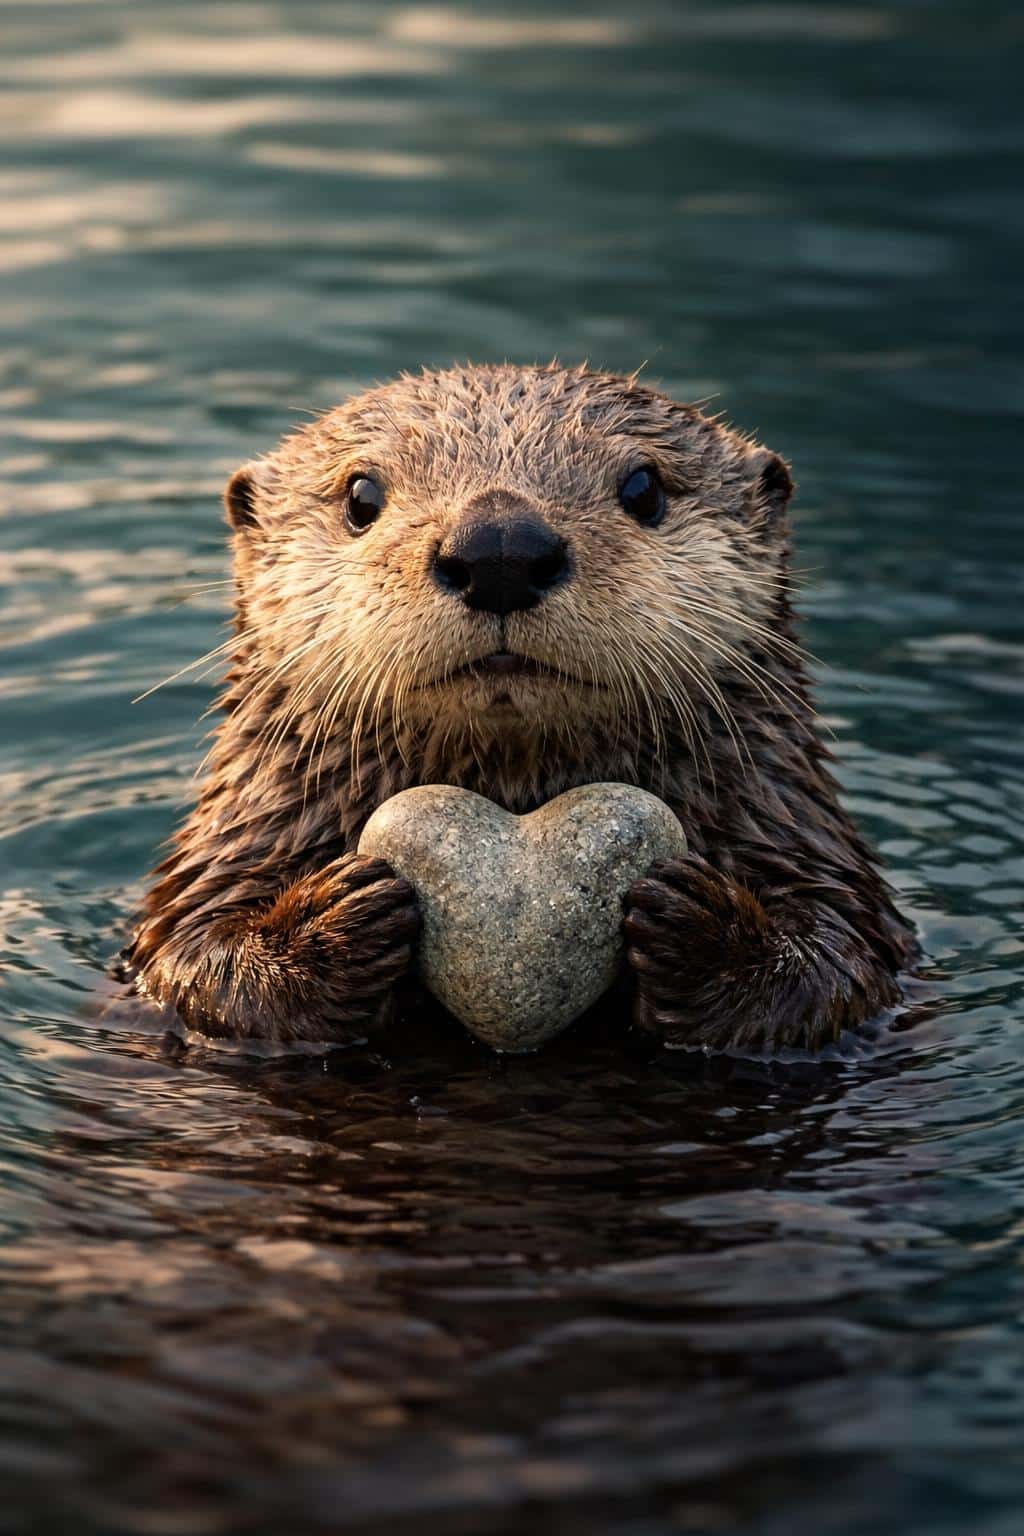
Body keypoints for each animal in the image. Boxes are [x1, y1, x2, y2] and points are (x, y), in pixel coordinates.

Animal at [125, 364, 915, 1054]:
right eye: (360, 496)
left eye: (644, 487)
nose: (499, 546)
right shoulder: (221, 867)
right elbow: (207, 968)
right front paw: (332, 918)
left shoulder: (816, 866)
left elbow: (825, 974)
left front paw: (701, 925)